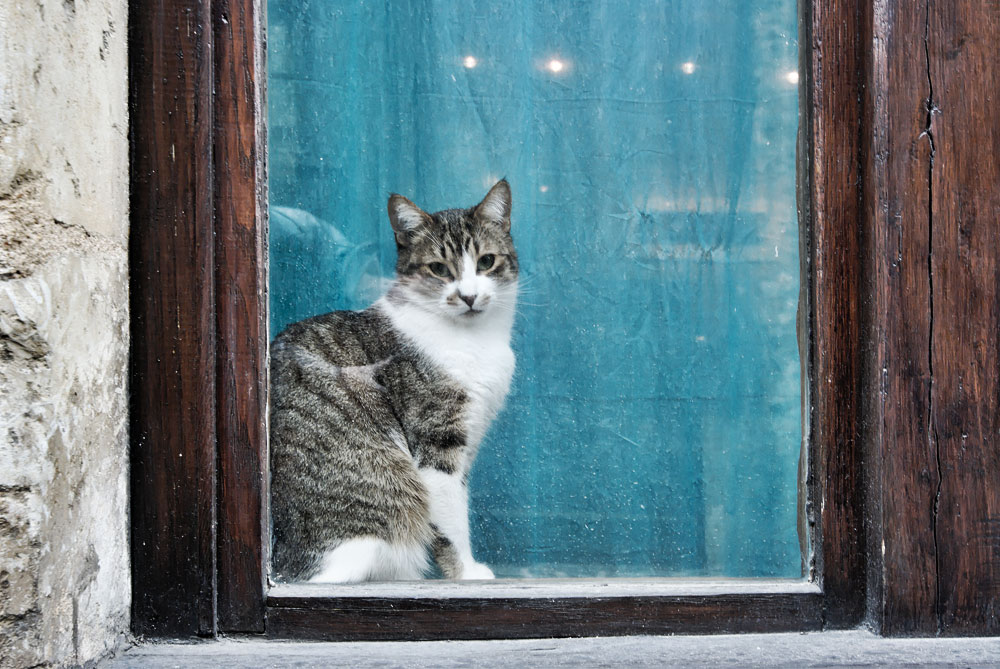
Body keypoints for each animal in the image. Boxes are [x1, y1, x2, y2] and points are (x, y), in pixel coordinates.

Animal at [270, 180, 520, 580]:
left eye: (486, 261)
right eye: (438, 269)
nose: (468, 297)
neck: (478, 340)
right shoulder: (437, 442)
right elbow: (451, 520)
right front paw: (466, 573)